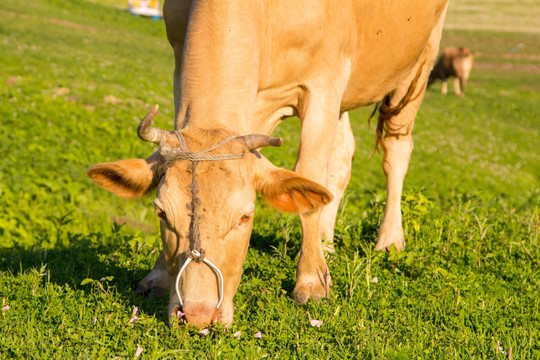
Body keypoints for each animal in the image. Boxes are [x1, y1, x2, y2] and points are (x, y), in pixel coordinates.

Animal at [88, 0, 450, 326]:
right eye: (161, 213)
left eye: (246, 216)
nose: (197, 314)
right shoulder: (181, 64)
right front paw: (158, 277)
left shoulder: (325, 83)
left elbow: (308, 173)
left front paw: (311, 281)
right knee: (341, 157)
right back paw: (327, 245)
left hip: (420, 61)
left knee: (396, 150)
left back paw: (389, 240)